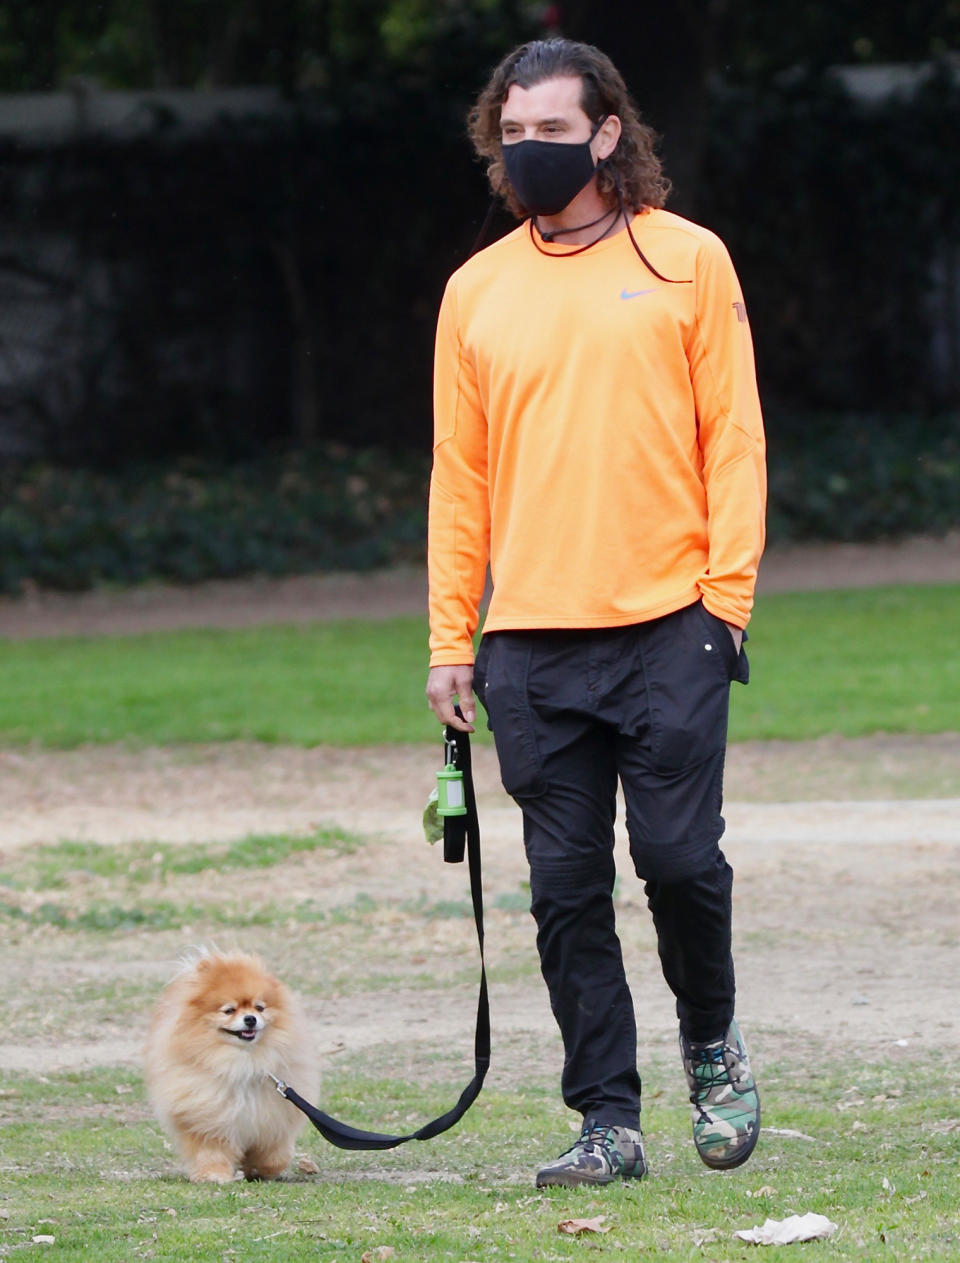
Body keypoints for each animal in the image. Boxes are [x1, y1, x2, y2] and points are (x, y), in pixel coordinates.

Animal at [144, 949, 314, 1182]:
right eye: (229, 1010)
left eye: (259, 1007)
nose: (250, 1018)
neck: (242, 1062)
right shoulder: (208, 1118)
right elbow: (211, 1151)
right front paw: (214, 1174)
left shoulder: (272, 1119)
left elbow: (275, 1155)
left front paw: (260, 1169)